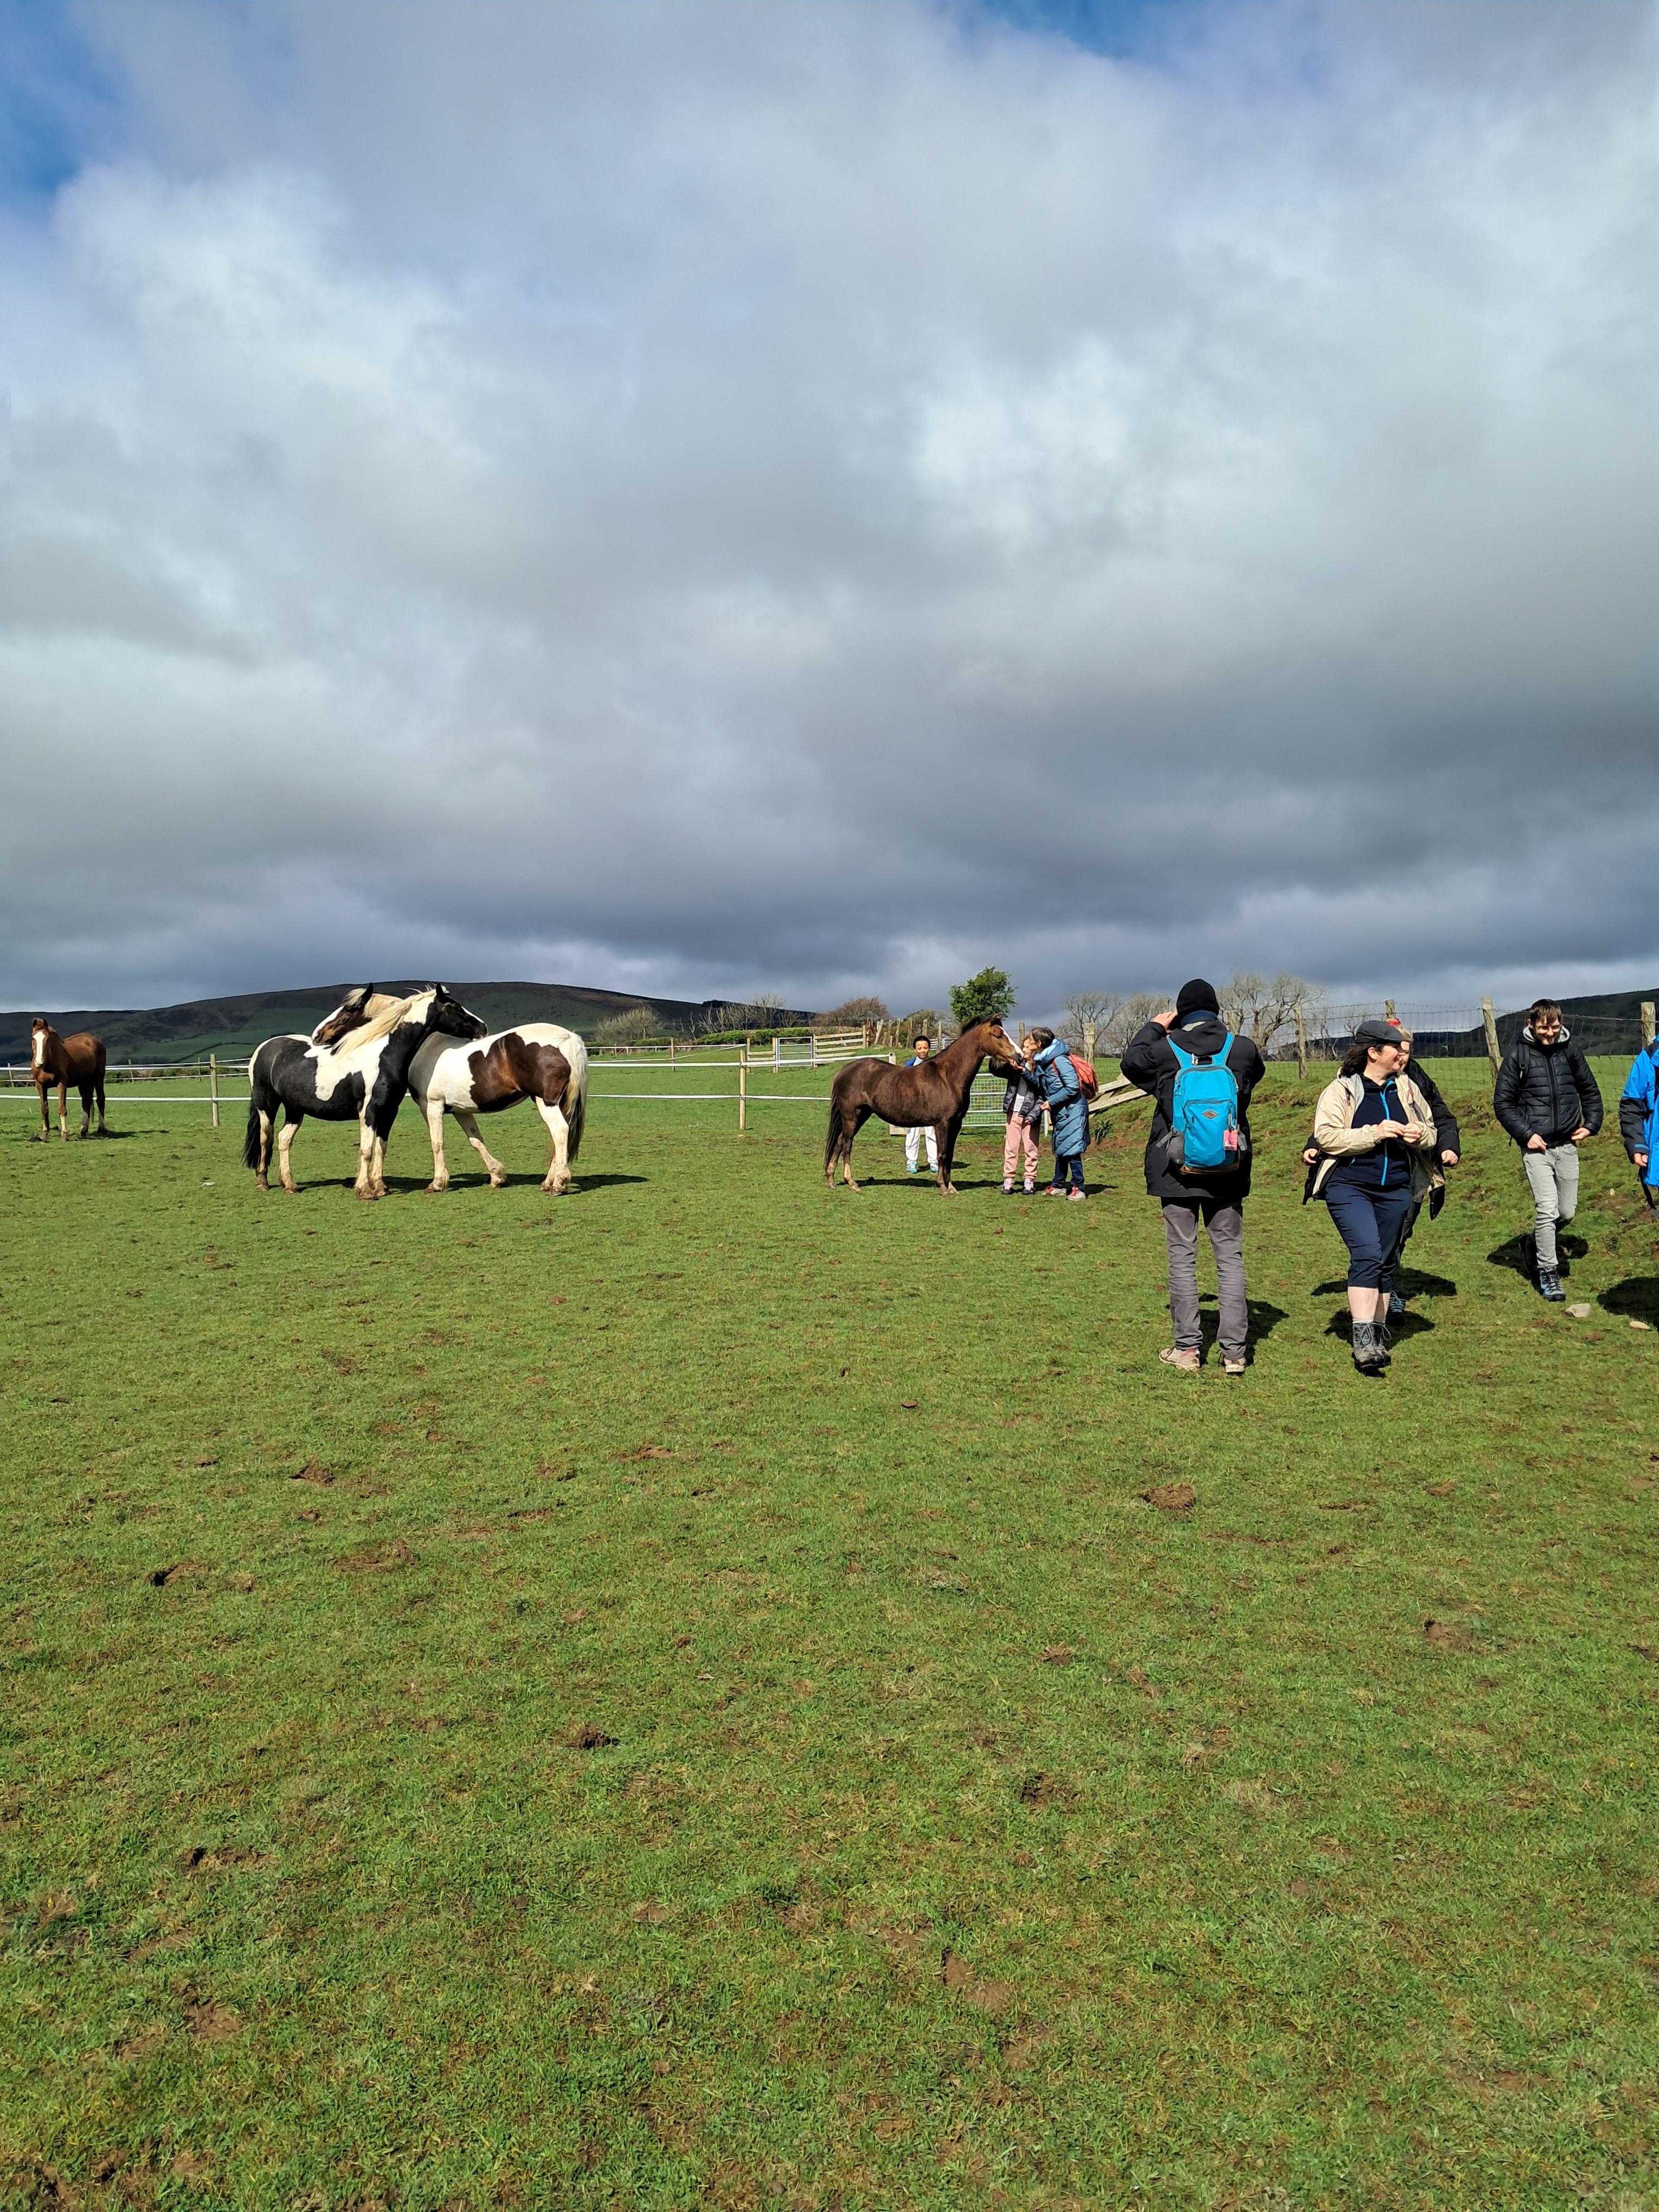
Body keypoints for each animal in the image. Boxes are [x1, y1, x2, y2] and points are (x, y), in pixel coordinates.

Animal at [30, 1019, 107, 1142]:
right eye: (33, 1038)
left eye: (47, 1039)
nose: (39, 1063)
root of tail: (96, 1041)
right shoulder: (40, 1085)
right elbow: (44, 1109)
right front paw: (44, 1134)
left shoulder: (61, 1084)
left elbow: (62, 1109)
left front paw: (64, 1135)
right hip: (84, 1081)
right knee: (86, 1101)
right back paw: (84, 1129)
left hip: (98, 1076)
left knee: (100, 1099)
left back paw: (101, 1128)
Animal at [243, 986, 487, 1199]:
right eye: (455, 1007)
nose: (482, 1027)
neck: (383, 1055)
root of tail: (264, 1047)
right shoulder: (368, 1112)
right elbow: (366, 1150)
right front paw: (365, 1191)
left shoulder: (389, 1112)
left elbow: (381, 1148)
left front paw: (380, 1187)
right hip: (267, 1106)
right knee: (266, 1138)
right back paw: (262, 1182)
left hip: (295, 1110)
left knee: (284, 1140)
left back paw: (289, 1184)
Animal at [409, 1023, 590, 1194]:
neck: (430, 1048)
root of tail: (568, 1038)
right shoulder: (461, 1110)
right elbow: (476, 1140)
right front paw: (497, 1177)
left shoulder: (432, 1105)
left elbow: (437, 1142)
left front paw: (437, 1183)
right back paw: (548, 1182)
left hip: (546, 1102)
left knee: (560, 1131)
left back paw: (559, 1182)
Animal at [824, 1017, 1025, 1194]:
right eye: (998, 1035)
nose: (1021, 1057)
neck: (948, 1076)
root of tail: (843, 1071)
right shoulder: (942, 1123)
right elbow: (942, 1153)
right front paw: (943, 1187)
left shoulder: (956, 1124)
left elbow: (949, 1154)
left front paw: (951, 1187)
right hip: (851, 1117)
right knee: (847, 1145)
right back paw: (851, 1183)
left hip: (861, 1115)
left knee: (839, 1143)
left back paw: (832, 1181)